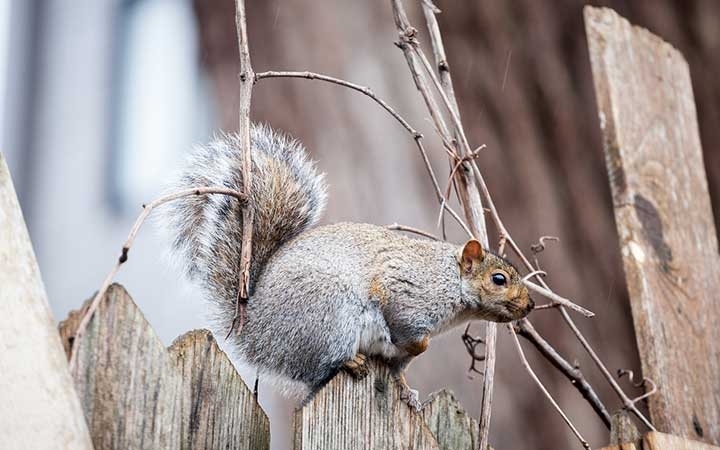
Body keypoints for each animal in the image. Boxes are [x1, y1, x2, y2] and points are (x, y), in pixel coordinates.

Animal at [163, 123, 536, 408]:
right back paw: (350, 360)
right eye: (499, 279)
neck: (449, 283)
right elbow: (409, 331)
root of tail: (256, 335)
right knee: (320, 367)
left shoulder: (402, 352)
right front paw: (417, 344)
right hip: (329, 314)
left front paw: (408, 392)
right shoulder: (404, 293)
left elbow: (399, 370)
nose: (529, 305)